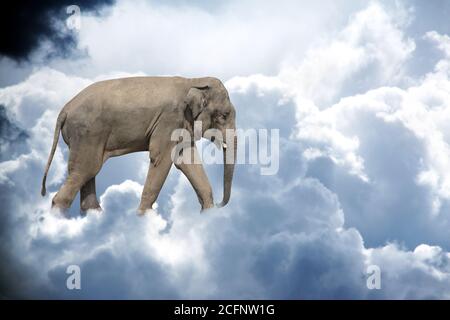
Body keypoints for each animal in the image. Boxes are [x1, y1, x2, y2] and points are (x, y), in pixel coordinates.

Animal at [40, 76, 237, 214]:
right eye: (224, 115)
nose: (220, 204)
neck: (194, 80)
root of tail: (64, 109)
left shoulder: (182, 124)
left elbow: (186, 161)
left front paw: (208, 214)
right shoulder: (169, 120)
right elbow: (161, 158)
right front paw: (143, 216)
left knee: (87, 171)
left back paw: (94, 214)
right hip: (87, 134)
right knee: (86, 169)